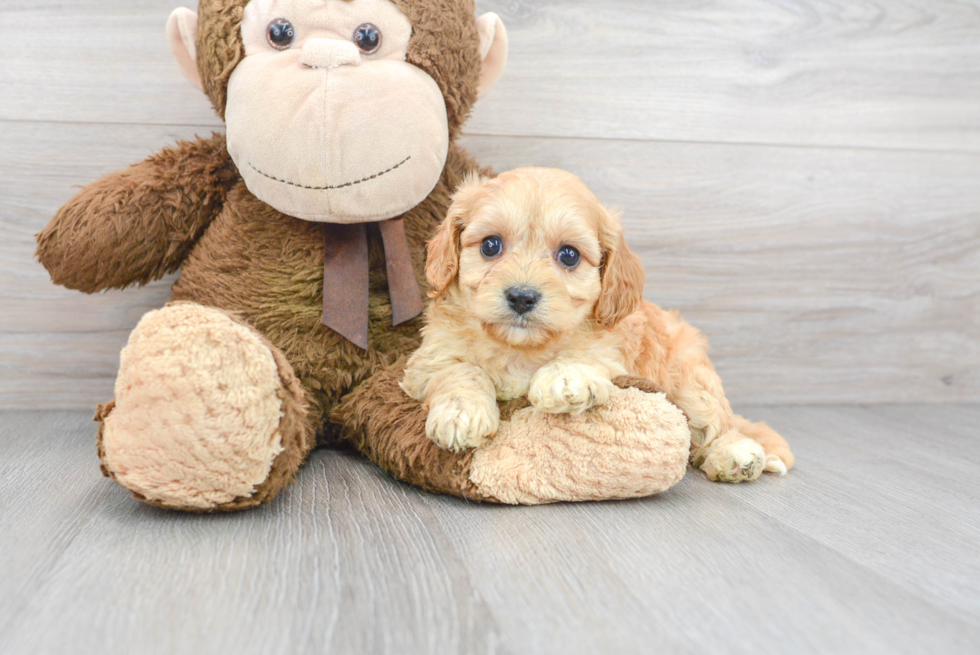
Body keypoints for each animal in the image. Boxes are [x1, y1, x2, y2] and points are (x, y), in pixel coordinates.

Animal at [402, 169, 792, 484]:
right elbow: (459, 371)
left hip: (689, 379)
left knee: (717, 424)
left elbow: (584, 355)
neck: (522, 348)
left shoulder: (613, 349)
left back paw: (736, 454)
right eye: (490, 245)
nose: (522, 297)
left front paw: (565, 378)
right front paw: (461, 412)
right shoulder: (429, 359)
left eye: (569, 255)